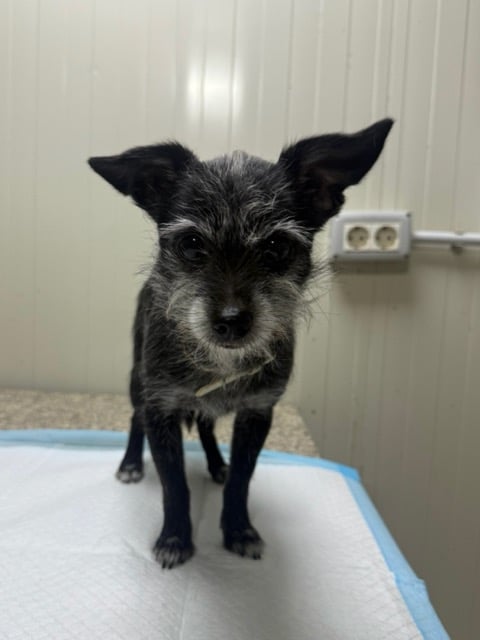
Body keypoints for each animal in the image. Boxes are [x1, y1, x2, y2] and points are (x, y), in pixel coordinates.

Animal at [88, 118, 393, 569]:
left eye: (277, 246)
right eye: (191, 244)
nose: (231, 321)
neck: (220, 363)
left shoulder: (257, 413)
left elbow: (241, 482)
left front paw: (238, 530)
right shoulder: (161, 409)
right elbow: (174, 485)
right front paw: (175, 538)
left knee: (207, 425)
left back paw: (217, 464)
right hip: (136, 382)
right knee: (134, 418)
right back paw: (130, 463)